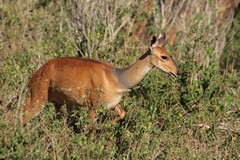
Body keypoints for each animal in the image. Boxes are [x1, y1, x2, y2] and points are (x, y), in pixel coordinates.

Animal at [23, 34, 180, 125]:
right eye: (164, 57)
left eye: (170, 54)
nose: (177, 73)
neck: (118, 79)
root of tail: (34, 76)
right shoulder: (93, 106)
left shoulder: (113, 103)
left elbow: (123, 113)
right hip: (38, 97)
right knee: (22, 117)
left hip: (62, 103)